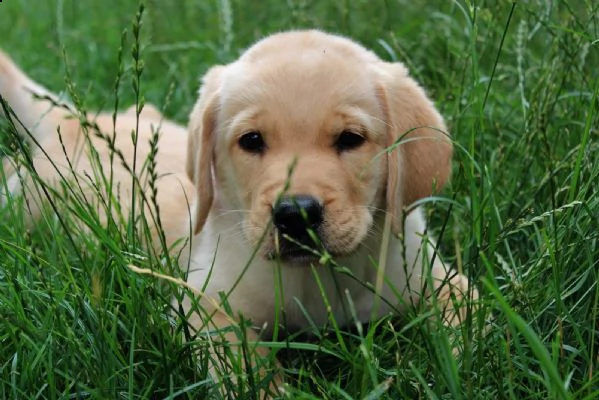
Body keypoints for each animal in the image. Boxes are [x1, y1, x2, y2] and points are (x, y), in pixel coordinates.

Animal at [1, 30, 478, 396]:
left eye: (350, 138)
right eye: (251, 141)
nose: (294, 214)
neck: (315, 278)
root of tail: (69, 121)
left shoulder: (437, 277)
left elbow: (469, 321)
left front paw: (447, 367)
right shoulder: (205, 302)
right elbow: (245, 363)